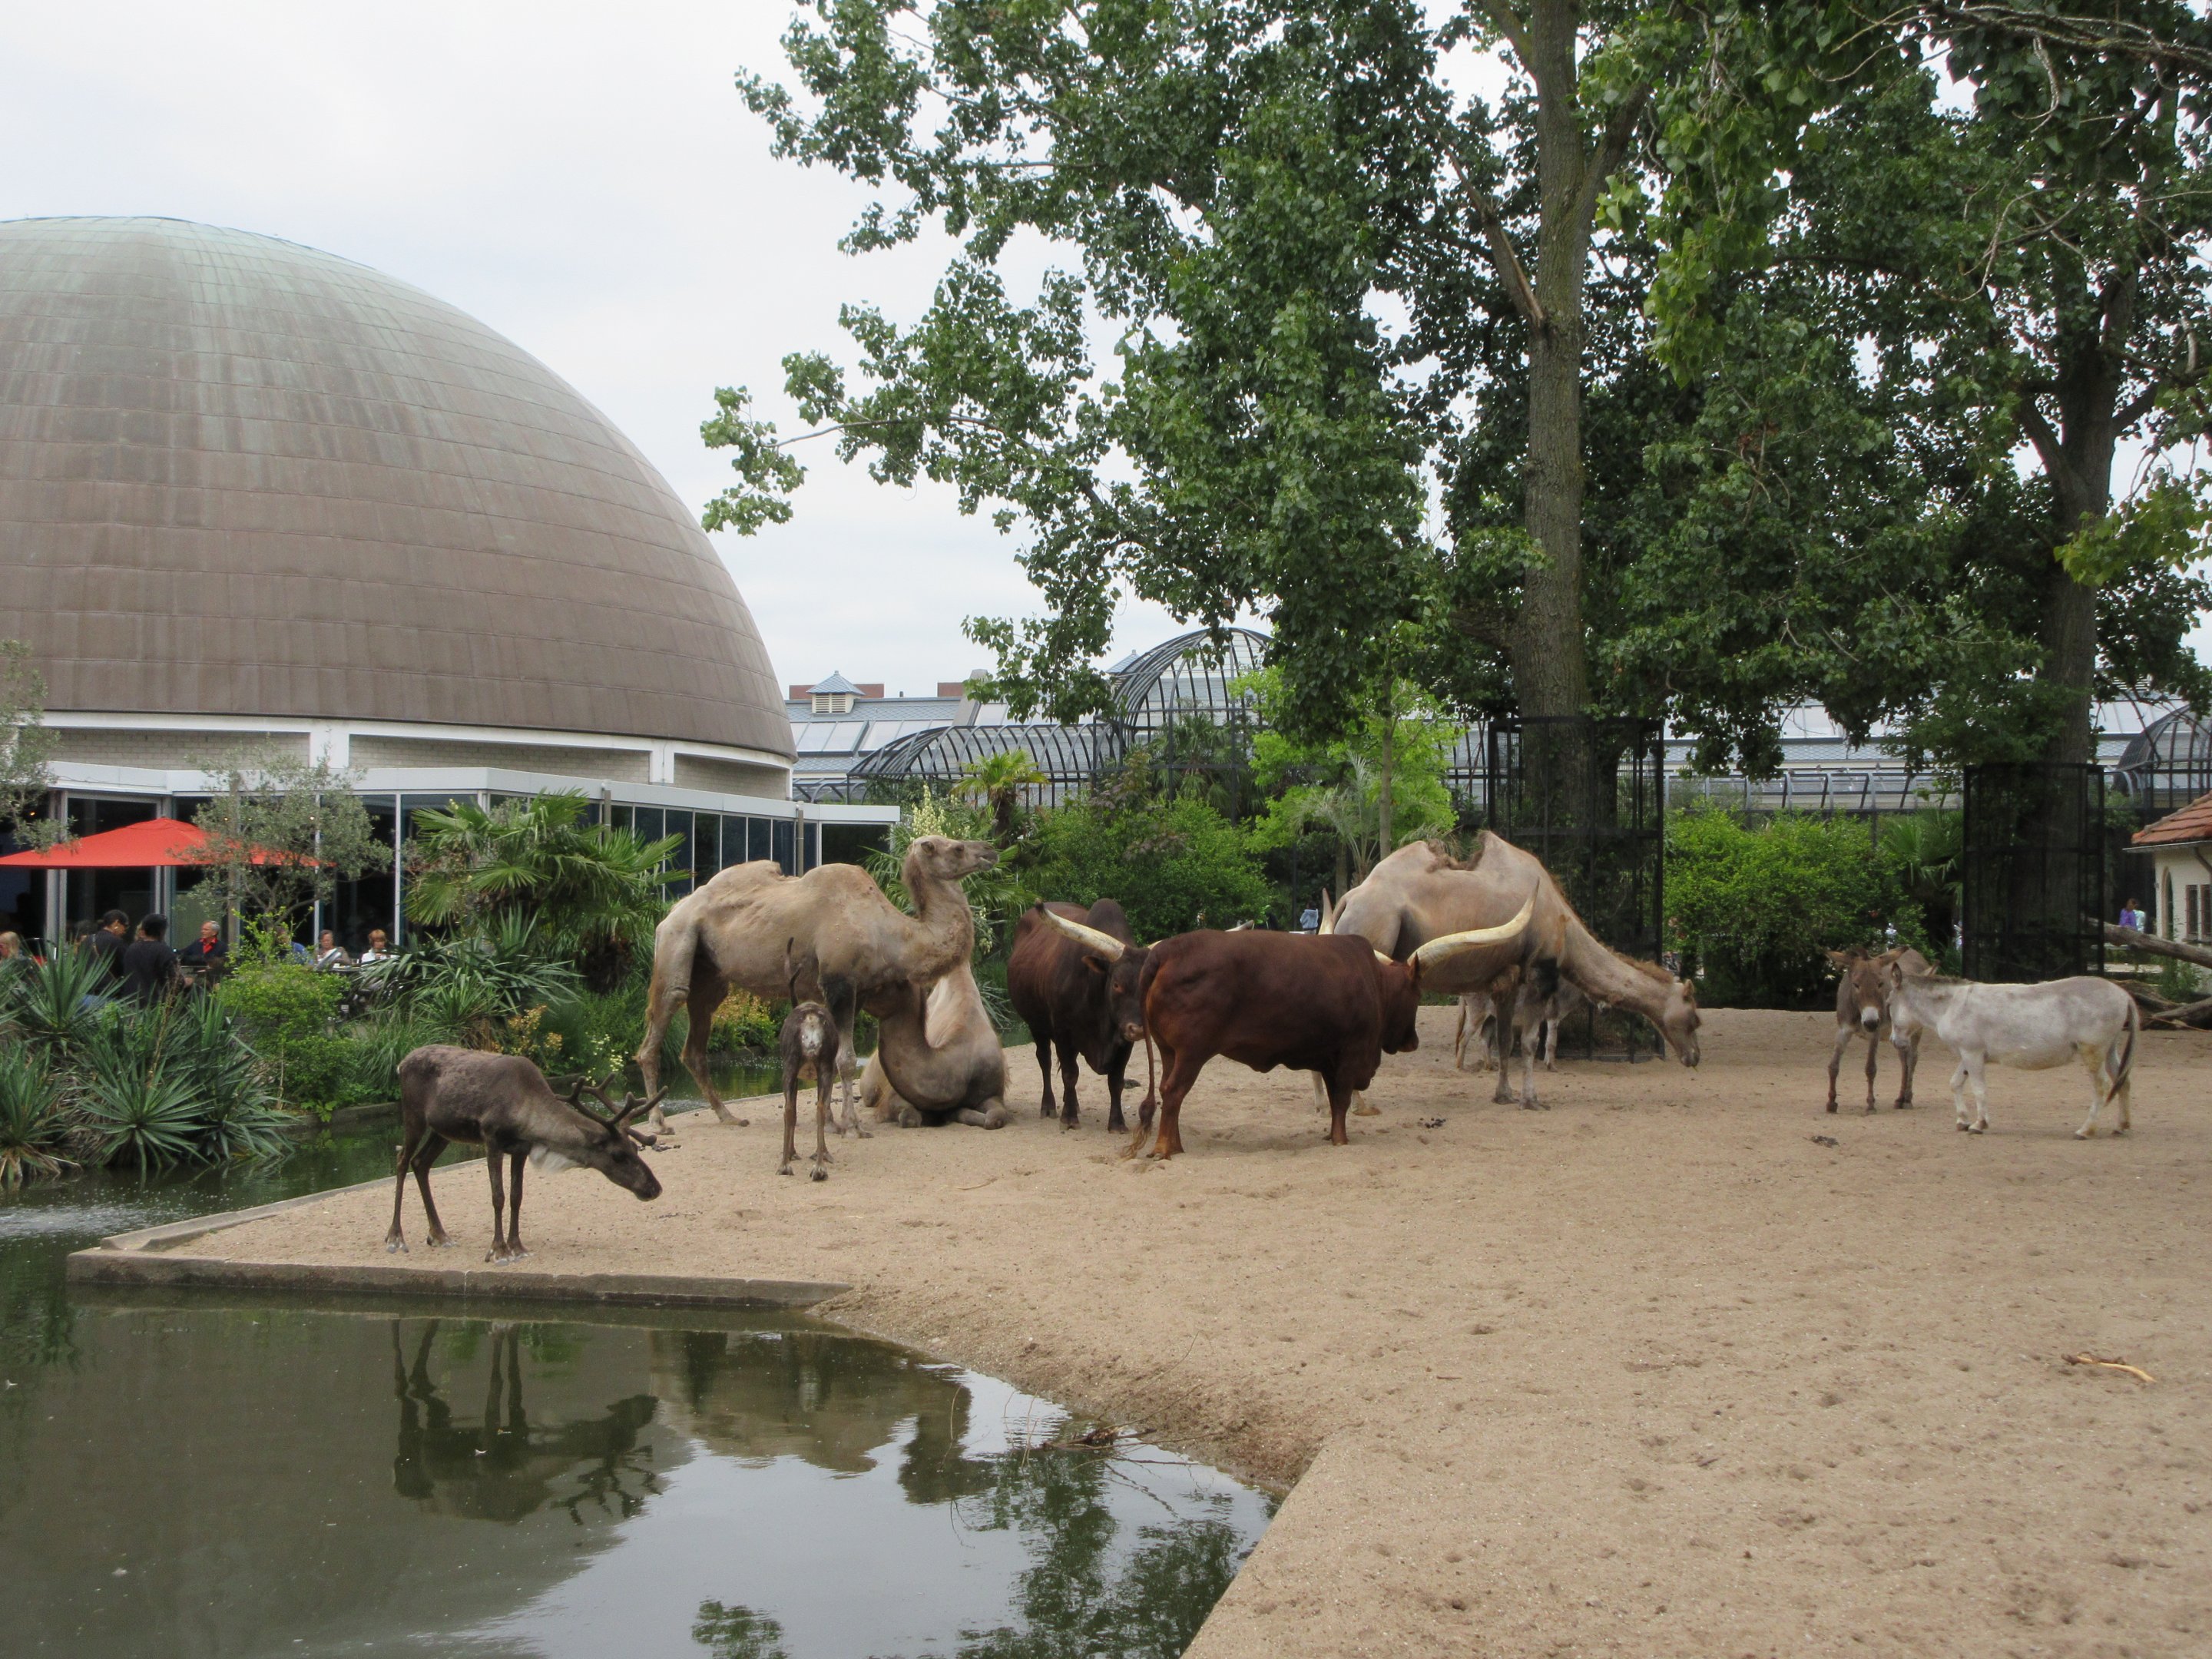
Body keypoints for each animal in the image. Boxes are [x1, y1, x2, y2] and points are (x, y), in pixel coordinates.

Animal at [384, 1045, 664, 1263]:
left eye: (635, 1147)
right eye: (618, 1155)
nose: (654, 1188)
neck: (527, 1113)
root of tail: (400, 1064)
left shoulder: (521, 1149)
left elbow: (516, 1196)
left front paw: (517, 1247)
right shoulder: (491, 1139)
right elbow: (498, 1196)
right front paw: (498, 1251)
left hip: (442, 1130)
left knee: (420, 1163)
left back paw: (439, 1235)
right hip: (413, 1115)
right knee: (402, 1161)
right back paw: (395, 1237)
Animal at [1006, 899, 1149, 1131]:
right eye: (1117, 984)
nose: (1138, 1029)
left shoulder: (1124, 1041)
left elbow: (1116, 1081)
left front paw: (1117, 1122)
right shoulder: (1064, 1033)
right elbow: (1070, 1074)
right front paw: (1070, 1117)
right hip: (1036, 1025)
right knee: (1045, 1060)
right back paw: (1049, 1106)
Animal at [1045, 896, 1533, 1160]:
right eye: (1414, 994)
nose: (1411, 1042)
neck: (1371, 978)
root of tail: (1165, 953)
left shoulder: (1329, 1057)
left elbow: (1334, 1100)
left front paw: (1333, 1136)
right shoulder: (1350, 1055)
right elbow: (1341, 1101)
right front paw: (1341, 1141)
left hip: (1169, 1049)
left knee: (1169, 1093)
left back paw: (1176, 1145)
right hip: (1192, 1051)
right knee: (1173, 1092)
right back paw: (1166, 1149)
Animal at [1327, 836, 1700, 1109]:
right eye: (1694, 1017)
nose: (1694, 1057)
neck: (1564, 929)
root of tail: (1349, 899)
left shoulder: (1505, 980)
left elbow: (1505, 1039)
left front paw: (1503, 1095)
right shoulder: (1537, 976)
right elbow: (1530, 1042)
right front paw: (1532, 1100)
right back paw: (1359, 1104)